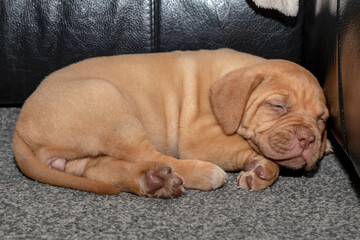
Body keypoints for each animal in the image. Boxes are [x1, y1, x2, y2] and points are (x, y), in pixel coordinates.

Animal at [13, 47, 330, 198]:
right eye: (277, 106)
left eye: (321, 120)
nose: (308, 139)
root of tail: (19, 127)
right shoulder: (198, 137)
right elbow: (245, 146)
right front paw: (262, 166)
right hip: (109, 102)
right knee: (149, 155)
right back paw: (199, 174)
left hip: (86, 151)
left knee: (101, 169)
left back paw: (153, 182)